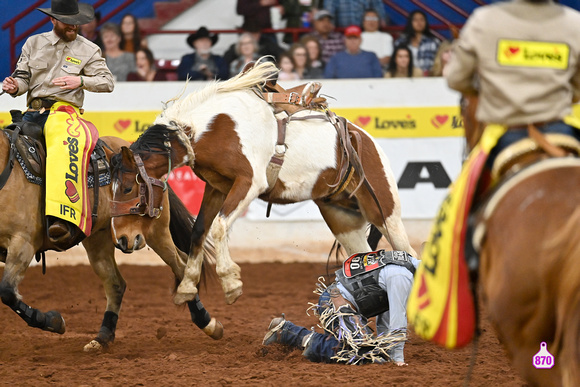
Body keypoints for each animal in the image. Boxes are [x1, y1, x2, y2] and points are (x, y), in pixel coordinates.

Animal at [110, 59, 416, 310]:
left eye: (127, 188)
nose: (122, 239)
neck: (209, 127)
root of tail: (362, 138)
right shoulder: (217, 187)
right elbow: (200, 230)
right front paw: (187, 286)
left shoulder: (249, 182)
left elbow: (219, 226)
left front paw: (231, 282)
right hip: (342, 218)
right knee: (363, 257)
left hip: (385, 211)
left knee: (409, 254)